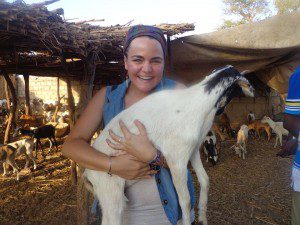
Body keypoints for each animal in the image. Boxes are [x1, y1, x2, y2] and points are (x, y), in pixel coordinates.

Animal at [83, 65, 254, 225]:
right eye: (235, 89)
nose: (220, 111)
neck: (196, 103)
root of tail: (87, 174)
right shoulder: (176, 158)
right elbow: (185, 201)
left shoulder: (193, 150)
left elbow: (205, 180)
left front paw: (202, 217)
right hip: (110, 191)